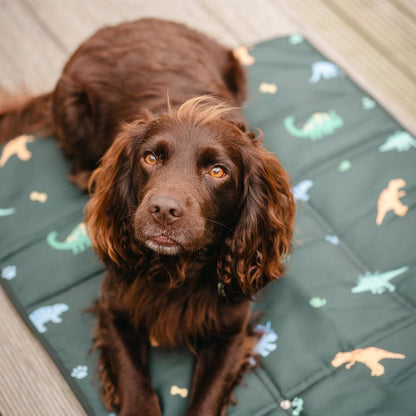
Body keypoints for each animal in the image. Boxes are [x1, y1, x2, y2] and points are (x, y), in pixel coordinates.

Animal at [0, 18, 296, 416]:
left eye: (218, 171)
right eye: (150, 158)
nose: (164, 210)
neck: (179, 270)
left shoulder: (231, 328)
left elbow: (206, 398)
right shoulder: (115, 306)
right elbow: (134, 381)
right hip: (73, 110)